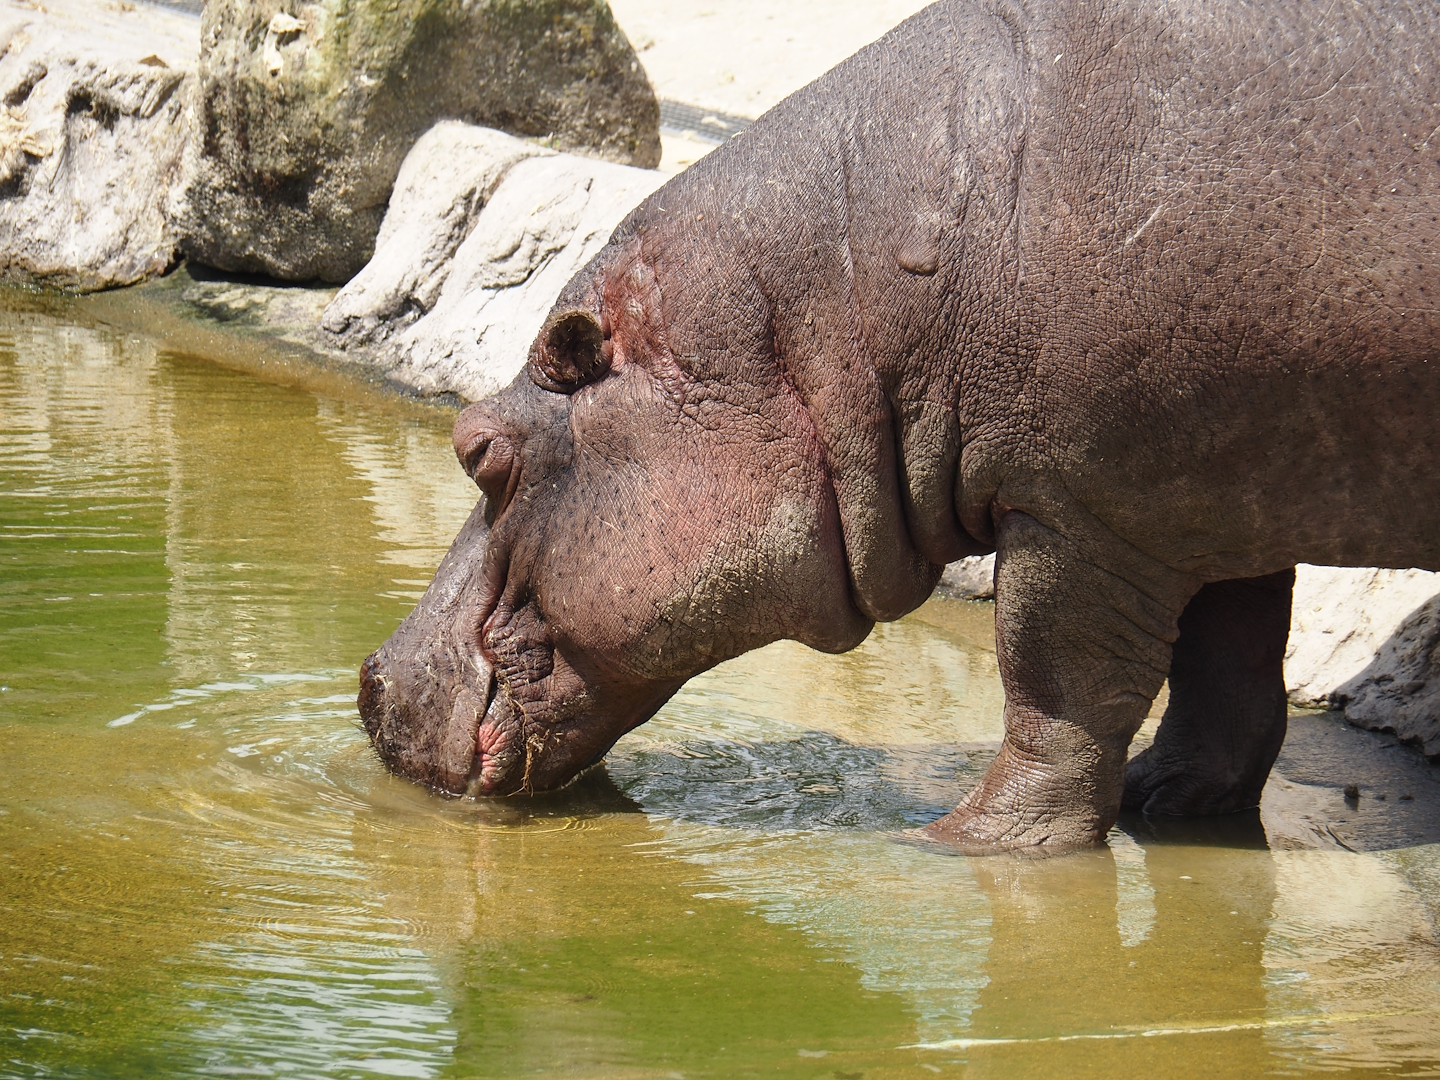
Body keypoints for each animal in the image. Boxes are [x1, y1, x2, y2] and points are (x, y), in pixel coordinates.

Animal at [358, 0, 1440, 850]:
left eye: (478, 450)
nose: (368, 681)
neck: (829, 313)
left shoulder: (1080, 506)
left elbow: (1060, 686)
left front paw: (969, 843)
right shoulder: (1208, 490)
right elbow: (1231, 666)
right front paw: (1165, 804)